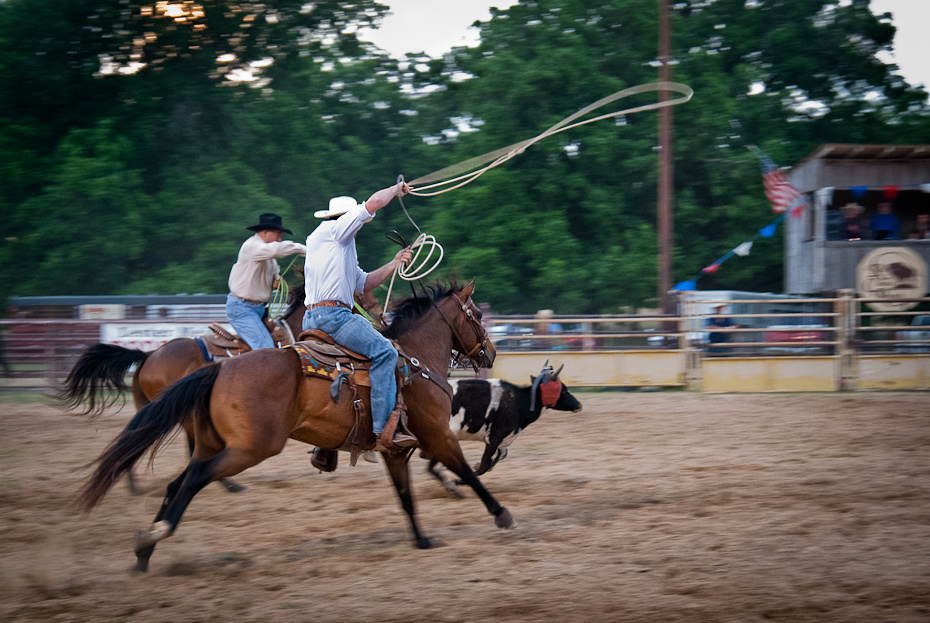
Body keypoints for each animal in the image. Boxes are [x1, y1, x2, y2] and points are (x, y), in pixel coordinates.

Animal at [59, 286, 310, 492]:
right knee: (192, 449)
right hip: (185, 412)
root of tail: (150, 355)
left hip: (154, 406)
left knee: (136, 435)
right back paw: (229, 485)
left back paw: (133, 485)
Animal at [426, 364, 580, 494]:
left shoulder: (502, 440)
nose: (579, 404)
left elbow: (499, 456)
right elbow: (484, 465)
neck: (518, 402)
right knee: (432, 466)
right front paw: (459, 480)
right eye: (563, 390)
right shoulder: (494, 438)